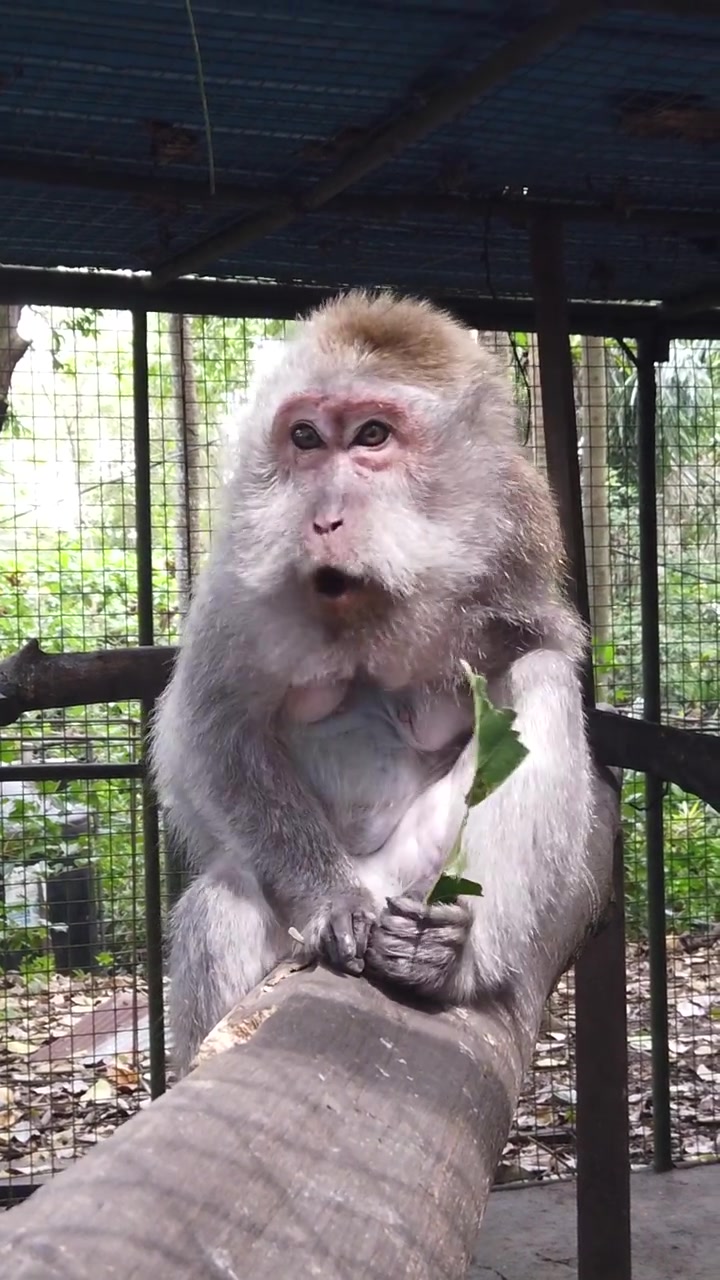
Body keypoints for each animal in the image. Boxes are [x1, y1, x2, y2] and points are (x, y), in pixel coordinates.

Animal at [151, 290, 614, 1076]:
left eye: (372, 435)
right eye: (305, 436)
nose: (323, 519)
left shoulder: (516, 549)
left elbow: (543, 658)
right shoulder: (238, 576)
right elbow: (214, 726)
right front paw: (333, 900)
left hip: (420, 868)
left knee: (540, 682)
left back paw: (445, 959)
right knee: (225, 903)